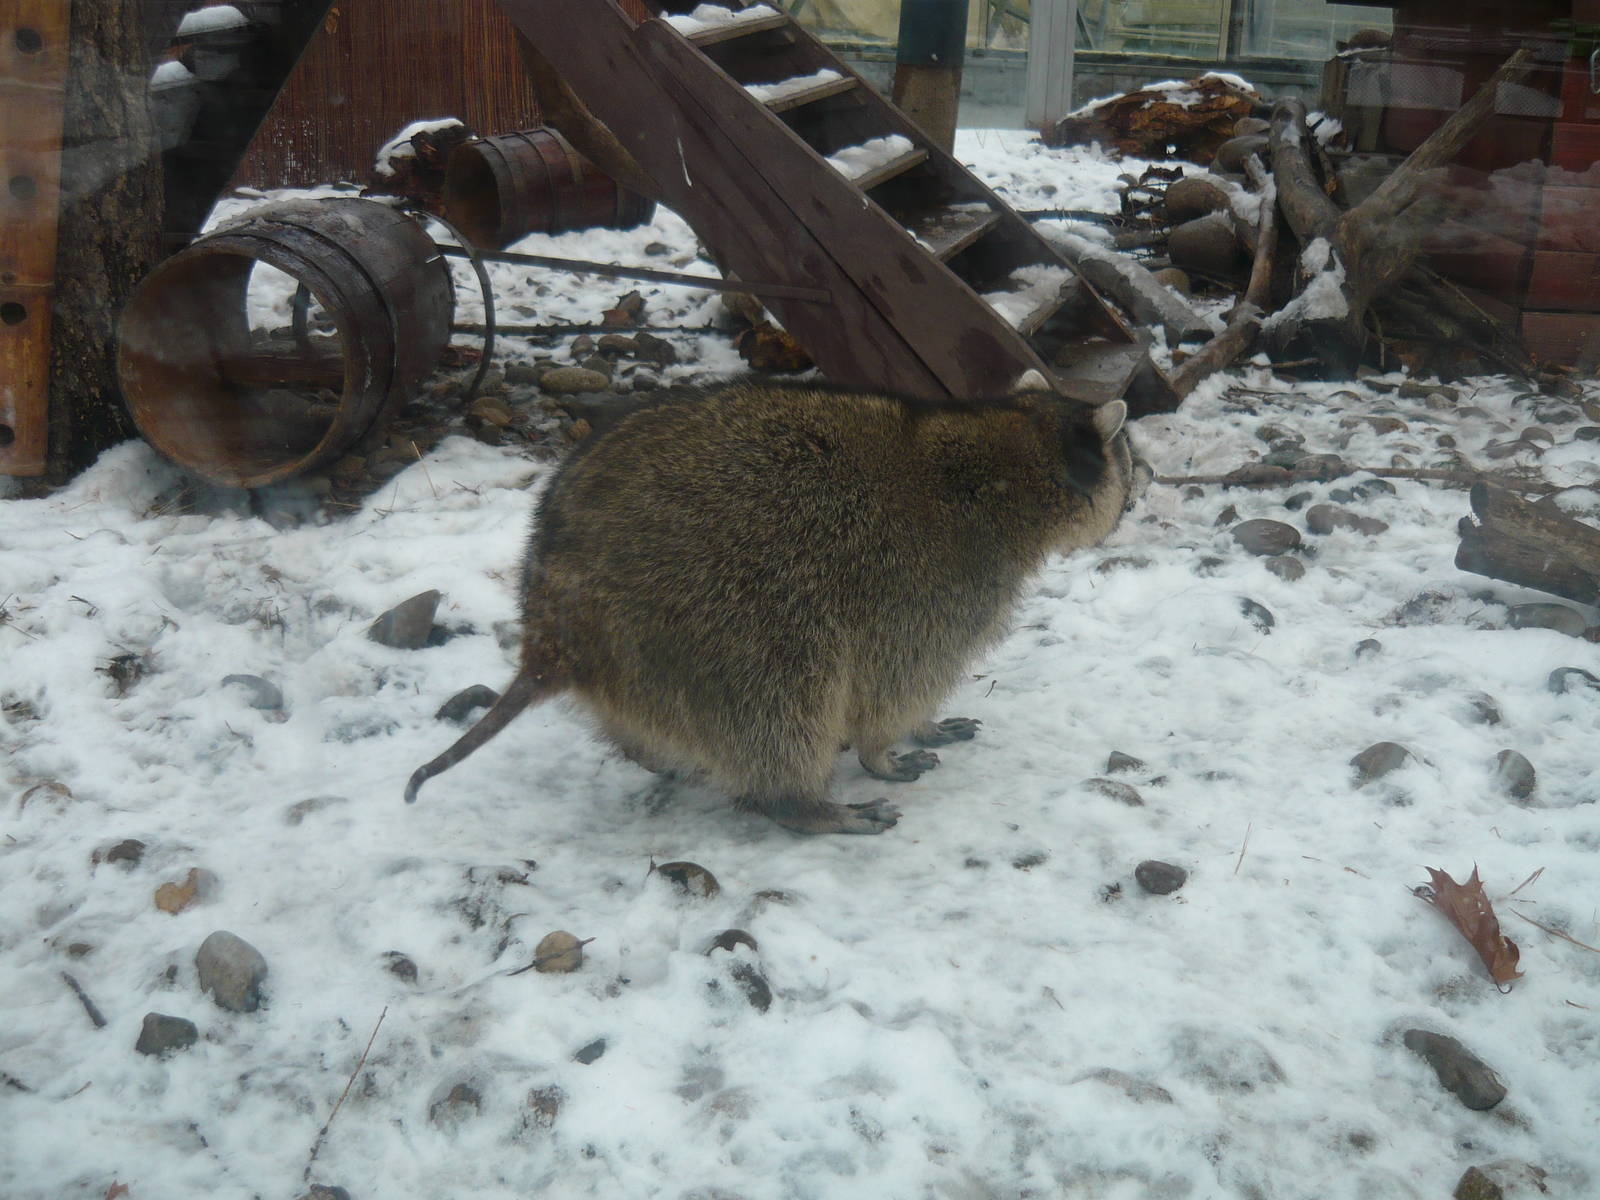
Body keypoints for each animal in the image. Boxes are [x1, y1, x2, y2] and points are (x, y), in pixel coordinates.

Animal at [405, 380, 1136, 834]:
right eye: (1126, 459)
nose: (1139, 490)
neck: (1006, 443)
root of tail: (553, 626)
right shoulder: (934, 584)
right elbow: (896, 679)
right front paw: (890, 742)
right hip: (716, 616)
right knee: (785, 700)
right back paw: (801, 802)